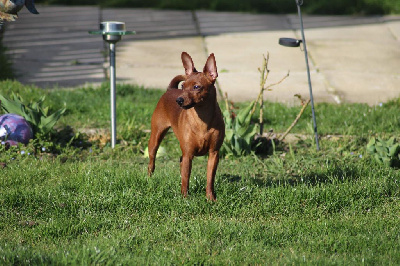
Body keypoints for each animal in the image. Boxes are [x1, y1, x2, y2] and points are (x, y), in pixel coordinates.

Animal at [148, 52, 225, 201]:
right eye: (183, 87)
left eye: (197, 87)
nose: (179, 100)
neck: (202, 119)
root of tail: (171, 89)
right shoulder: (188, 154)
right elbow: (186, 177)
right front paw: (185, 198)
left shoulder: (213, 154)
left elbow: (210, 178)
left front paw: (210, 198)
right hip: (156, 137)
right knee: (152, 160)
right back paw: (149, 178)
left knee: (180, 161)